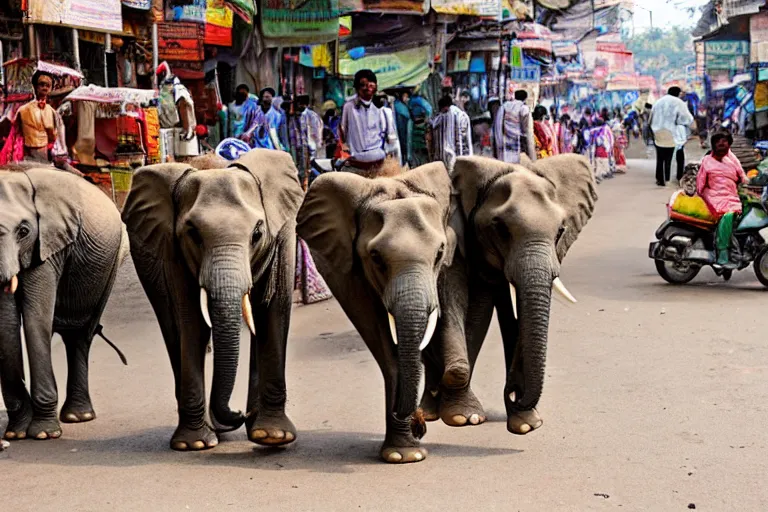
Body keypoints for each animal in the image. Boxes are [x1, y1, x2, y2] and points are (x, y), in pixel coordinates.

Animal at [0, 168, 127, 440]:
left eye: (24, 231)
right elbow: (6, 323)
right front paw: (16, 433)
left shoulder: (49, 245)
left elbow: (36, 318)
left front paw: (43, 434)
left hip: (110, 265)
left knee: (80, 335)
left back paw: (78, 417)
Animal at [120, 149, 304, 452]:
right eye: (193, 234)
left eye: (257, 234)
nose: (238, 414)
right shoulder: (172, 249)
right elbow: (191, 322)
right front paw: (193, 444)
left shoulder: (284, 234)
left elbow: (272, 313)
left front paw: (273, 436)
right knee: (172, 329)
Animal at [296, 164, 456, 464]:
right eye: (376, 258)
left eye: (439, 252)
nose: (417, 424)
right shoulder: (348, 272)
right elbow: (380, 340)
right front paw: (403, 454)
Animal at [426, 154, 600, 434]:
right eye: (500, 229)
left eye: (561, 230)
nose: (514, 394)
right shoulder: (453, 234)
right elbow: (453, 302)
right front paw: (463, 417)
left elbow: (480, 313)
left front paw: (526, 423)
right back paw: (428, 412)